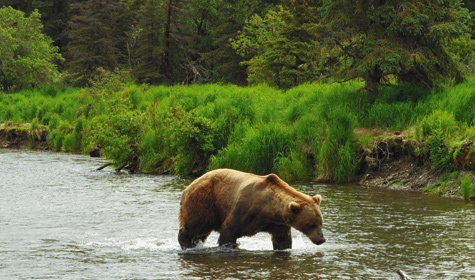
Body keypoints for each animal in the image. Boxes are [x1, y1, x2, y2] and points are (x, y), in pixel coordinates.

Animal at [178, 168, 328, 249]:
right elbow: (229, 232)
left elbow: (282, 240)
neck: (268, 209)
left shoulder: (277, 223)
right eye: (312, 224)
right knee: (197, 225)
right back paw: (186, 243)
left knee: (200, 233)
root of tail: (188, 187)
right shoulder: (243, 210)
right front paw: (231, 246)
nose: (321, 240)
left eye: (320, 223)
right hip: (205, 202)